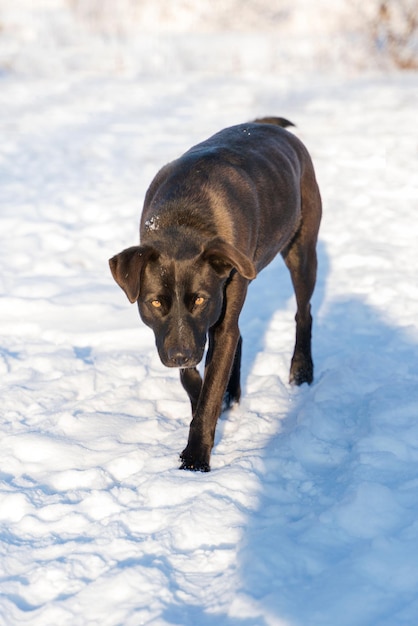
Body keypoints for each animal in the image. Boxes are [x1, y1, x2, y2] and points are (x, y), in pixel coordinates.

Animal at [109, 116, 322, 468]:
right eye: (156, 302)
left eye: (199, 299)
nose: (179, 356)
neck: (184, 221)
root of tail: (269, 125)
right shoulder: (185, 333)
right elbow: (195, 379)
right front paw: (211, 399)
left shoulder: (214, 315)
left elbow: (210, 389)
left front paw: (195, 459)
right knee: (239, 334)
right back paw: (232, 393)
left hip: (300, 250)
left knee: (302, 312)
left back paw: (301, 370)